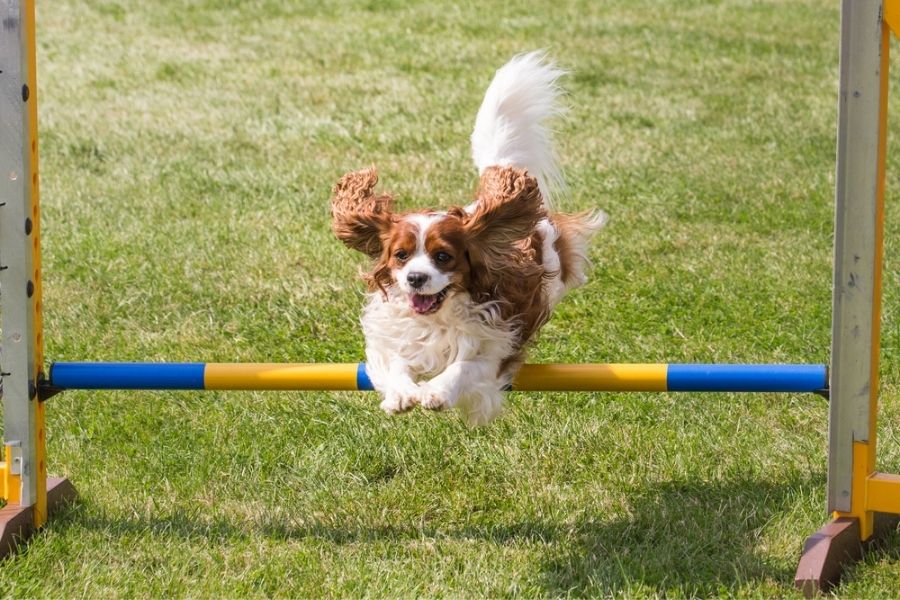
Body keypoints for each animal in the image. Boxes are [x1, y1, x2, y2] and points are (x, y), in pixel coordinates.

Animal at [330, 52, 604, 426]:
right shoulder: (396, 336)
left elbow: (464, 367)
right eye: (400, 255)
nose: (416, 278)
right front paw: (401, 394)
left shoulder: (496, 347)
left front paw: (436, 392)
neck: (439, 318)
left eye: (443, 256)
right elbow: (396, 362)